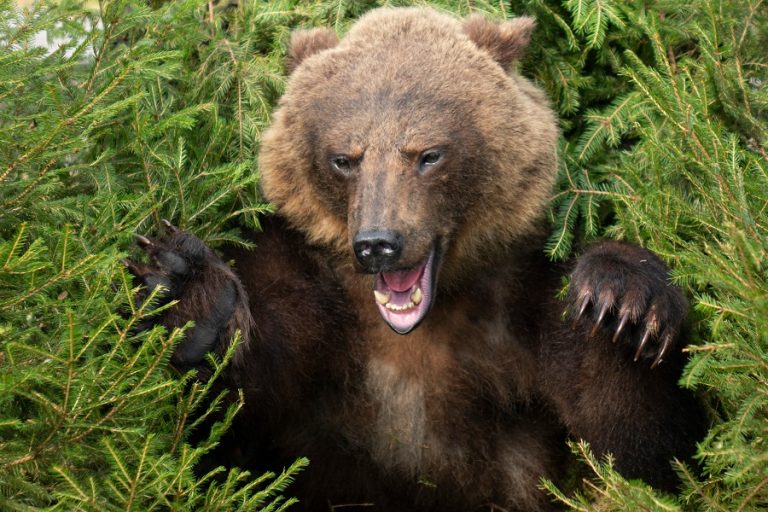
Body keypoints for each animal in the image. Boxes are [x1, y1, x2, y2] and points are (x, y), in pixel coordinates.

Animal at [124, 7, 705, 511]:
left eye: (429, 154)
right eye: (344, 157)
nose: (378, 242)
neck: (419, 327)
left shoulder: (519, 305)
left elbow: (639, 448)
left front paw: (622, 302)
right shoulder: (313, 305)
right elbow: (226, 428)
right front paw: (182, 289)